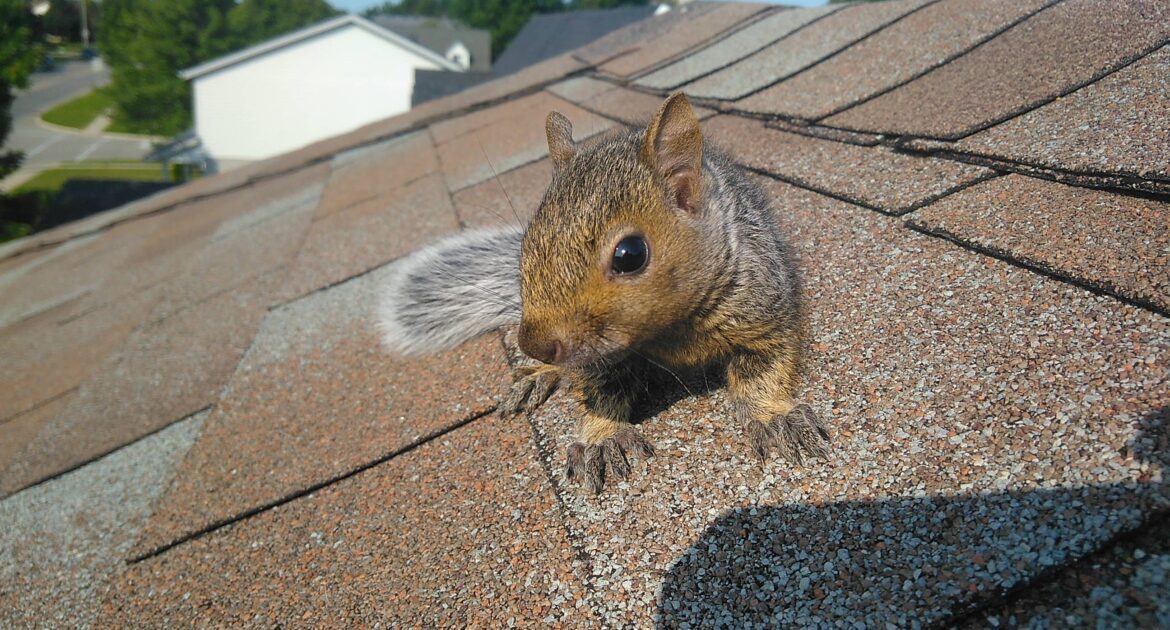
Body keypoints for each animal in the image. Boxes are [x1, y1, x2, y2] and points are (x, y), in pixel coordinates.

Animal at [379, 93, 828, 489]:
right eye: (527, 245)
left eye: (631, 255)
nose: (534, 344)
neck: (671, 328)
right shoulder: (598, 357)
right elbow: (599, 390)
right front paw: (602, 437)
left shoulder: (762, 309)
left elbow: (763, 368)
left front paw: (774, 417)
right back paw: (539, 375)